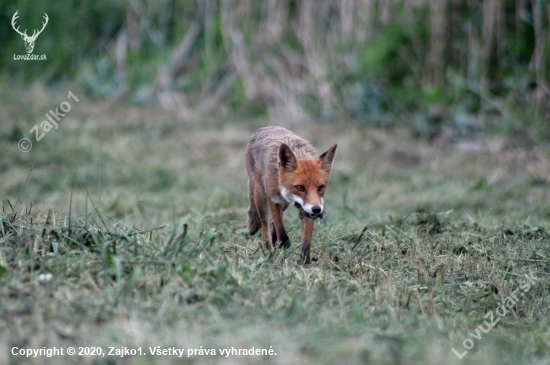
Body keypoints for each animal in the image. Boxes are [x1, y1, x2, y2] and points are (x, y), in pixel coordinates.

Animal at [246, 126, 336, 264]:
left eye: (321, 188)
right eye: (300, 188)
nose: (317, 209)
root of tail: (265, 128)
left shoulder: (307, 210)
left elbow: (306, 241)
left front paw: (305, 262)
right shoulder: (274, 199)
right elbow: (282, 232)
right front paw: (282, 246)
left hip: (285, 205)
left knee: (271, 224)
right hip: (262, 199)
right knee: (265, 226)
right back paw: (268, 251)